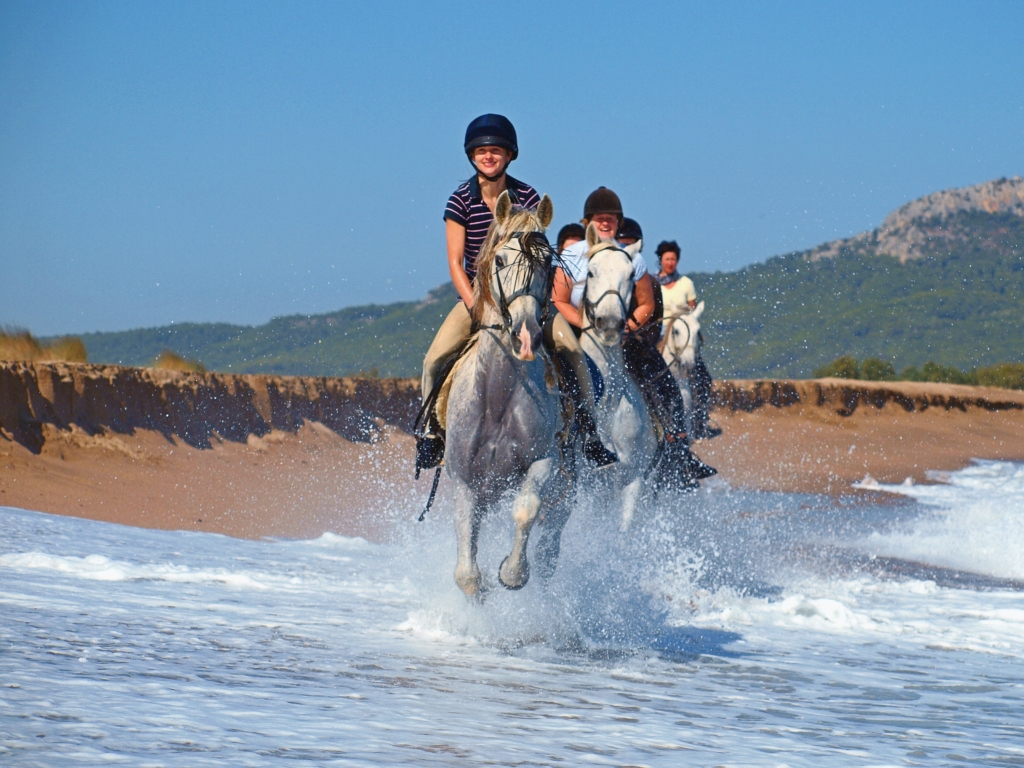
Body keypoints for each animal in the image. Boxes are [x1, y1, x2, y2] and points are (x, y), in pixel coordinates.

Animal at [442, 192, 569, 602]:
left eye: (549, 262)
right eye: (499, 260)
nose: (527, 335)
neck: (496, 398)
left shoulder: (543, 461)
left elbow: (526, 509)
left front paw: (512, 573)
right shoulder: (464, 478)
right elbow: (466, 570)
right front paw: (479, 595)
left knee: (551, 542)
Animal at [577, 225, 655, 532]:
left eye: (631, 275)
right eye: (591, 272)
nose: (609, 324)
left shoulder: (631, 478)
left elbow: (623, 531)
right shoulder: (587, 487)